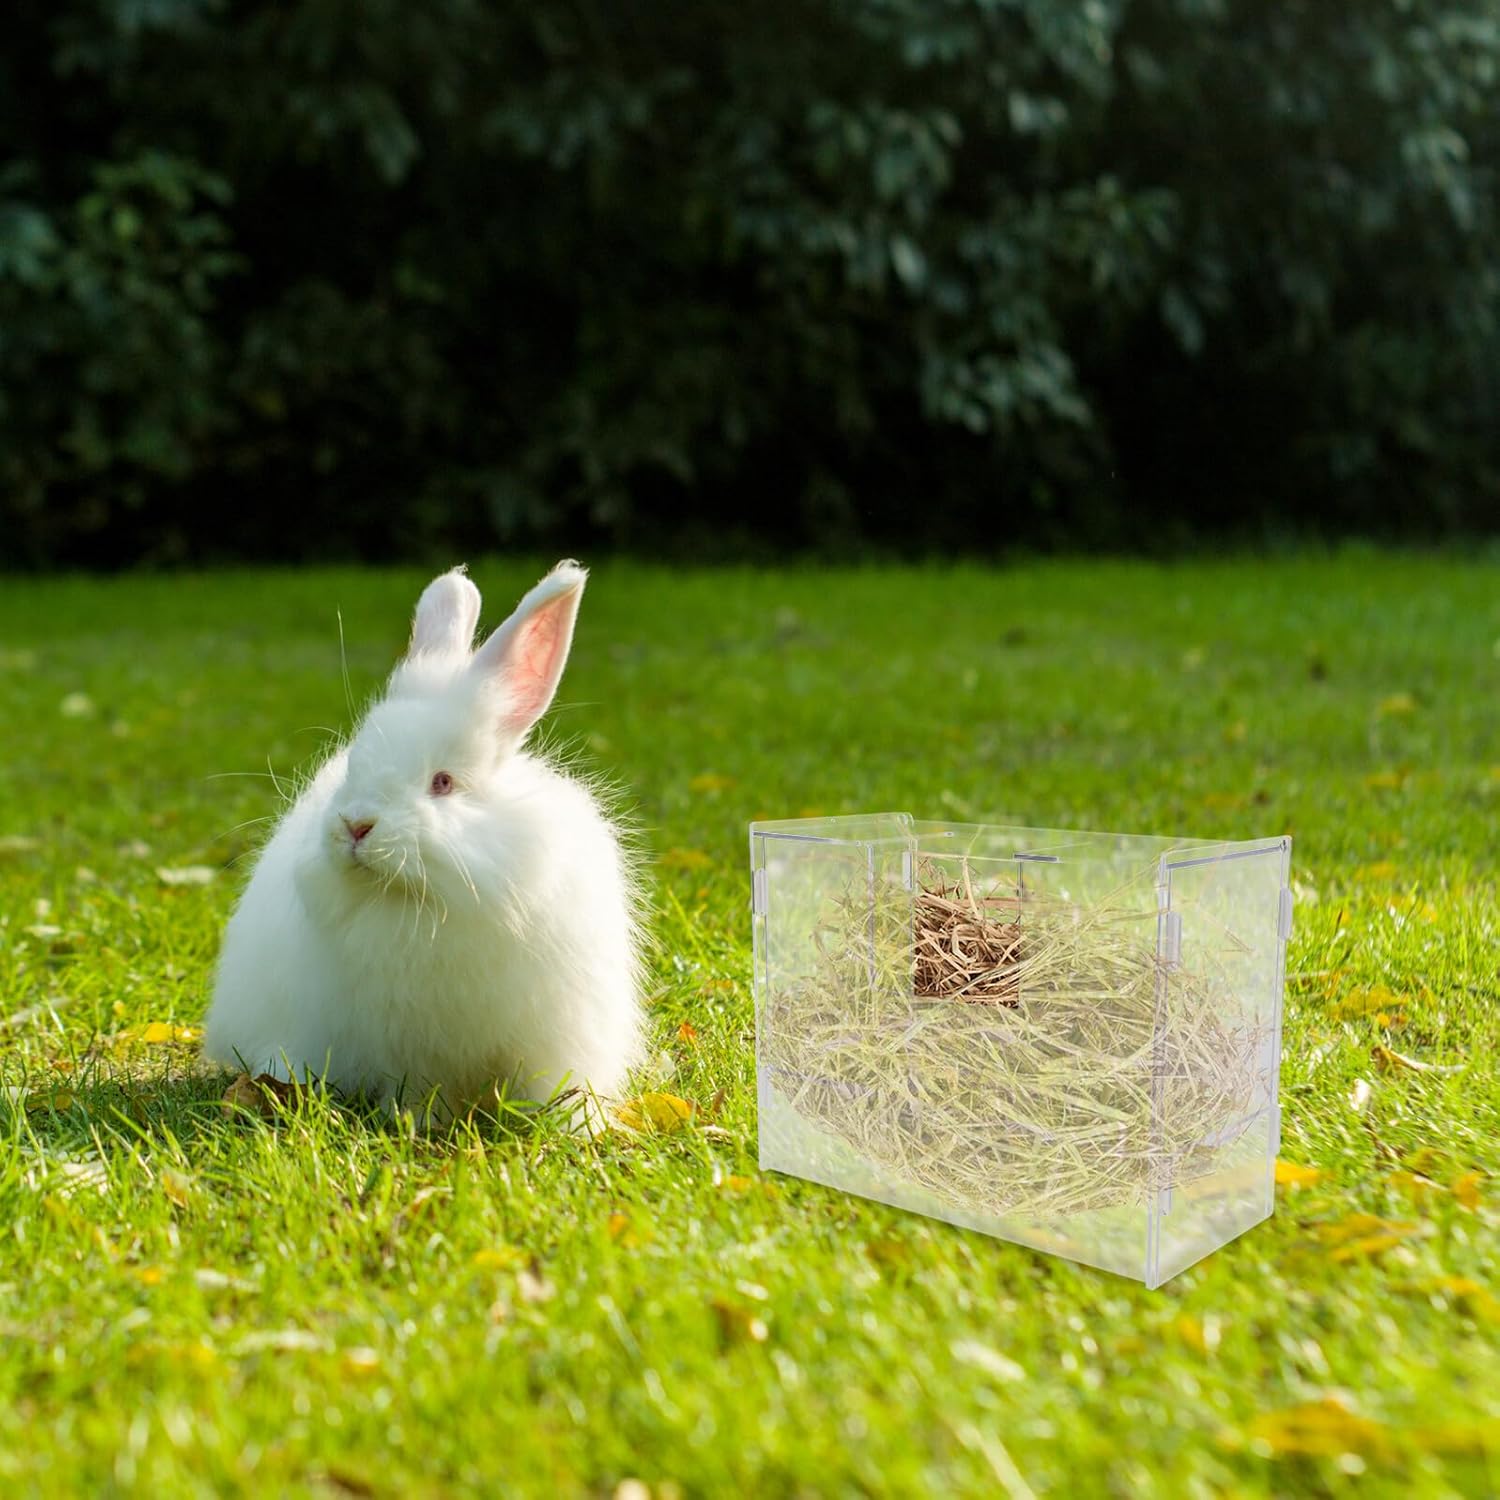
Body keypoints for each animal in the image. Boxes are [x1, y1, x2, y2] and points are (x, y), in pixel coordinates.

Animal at [203, 561, 645, 1125]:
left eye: (443, 782)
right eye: (353, 766)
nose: (356, 825)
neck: (426, 902)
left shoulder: (556, 1036)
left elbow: (556, 1090)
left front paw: (576, 1127)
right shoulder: (407, 1048)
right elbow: (418, 1091)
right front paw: (414, 1123)